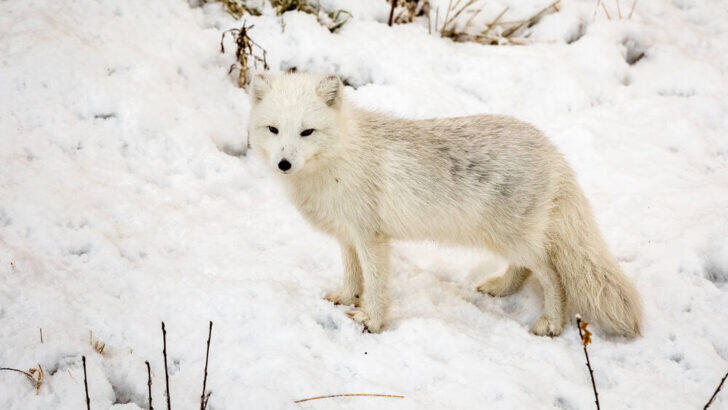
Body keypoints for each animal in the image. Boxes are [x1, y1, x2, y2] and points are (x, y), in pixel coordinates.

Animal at [247, 72, 642, 337]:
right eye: (274, 130)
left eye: (307, 132)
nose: (284, 163)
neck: (340, 157)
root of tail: (553, 150)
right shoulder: (348, 235)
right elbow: (352, 275)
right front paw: (347, 297)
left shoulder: (371, 237)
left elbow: (374, 283)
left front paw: (372, 321)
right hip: (508, 238)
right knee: (526, 270)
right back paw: (502, 289)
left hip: (511, 238)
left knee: (552, 274)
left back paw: (551, 324)